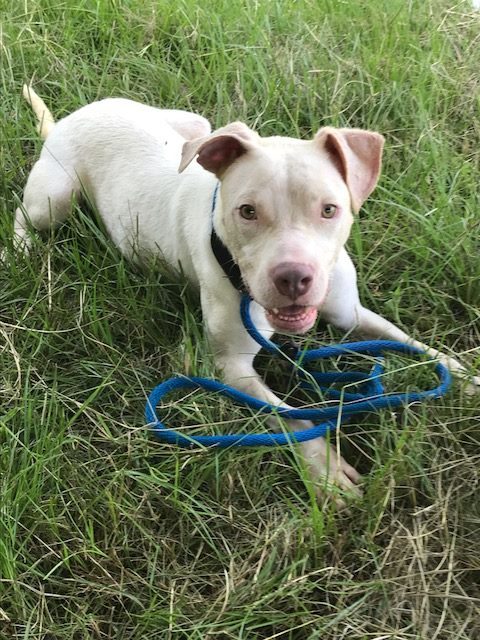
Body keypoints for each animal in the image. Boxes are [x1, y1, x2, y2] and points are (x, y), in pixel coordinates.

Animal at [13, 86, 478, 504]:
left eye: (330, 210)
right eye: (248, 211)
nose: (294, 278)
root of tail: (74, 116)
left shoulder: (351, 315)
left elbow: (415, 345)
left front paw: (465, 376)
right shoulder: (233, 368)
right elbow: (291, 416)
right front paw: (326, 470)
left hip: (195, 125)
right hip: (55, 198)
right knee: (22, 212)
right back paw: (20, 248)